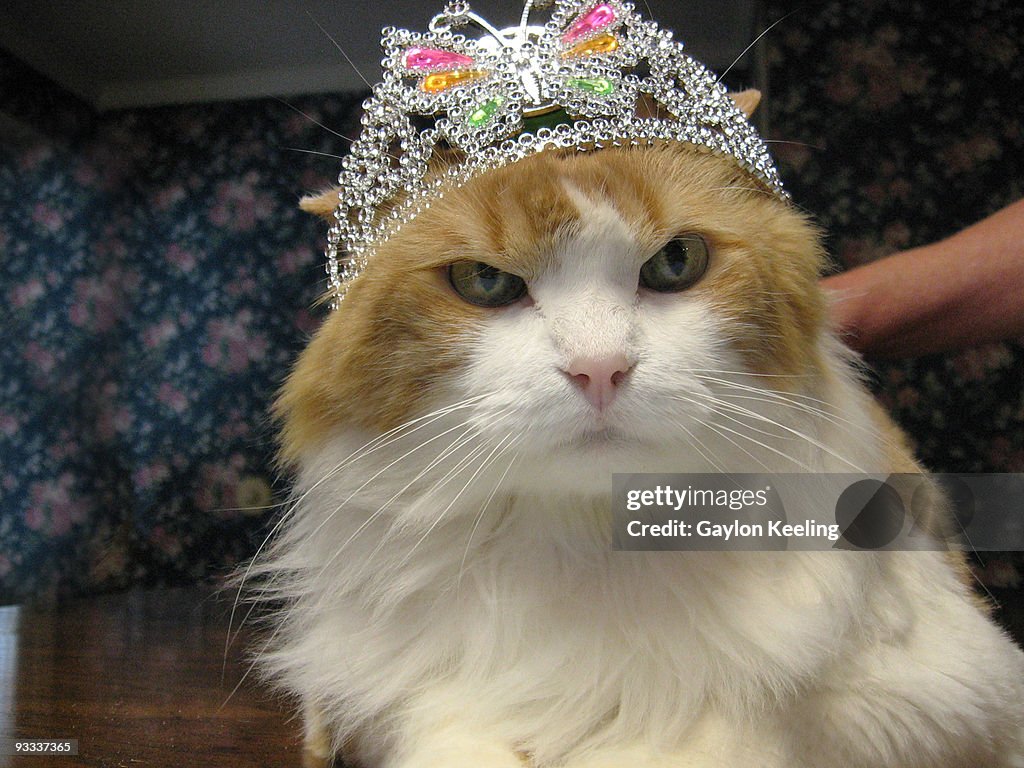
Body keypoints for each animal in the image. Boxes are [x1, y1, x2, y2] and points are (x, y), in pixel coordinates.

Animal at [251, 91, 1024, 768]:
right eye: (483, 282)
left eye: (676, 262)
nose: (600, 369)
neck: (588, 545)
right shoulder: (394, 691)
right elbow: (443, 731)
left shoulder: (950, 686)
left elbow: (726, 728)